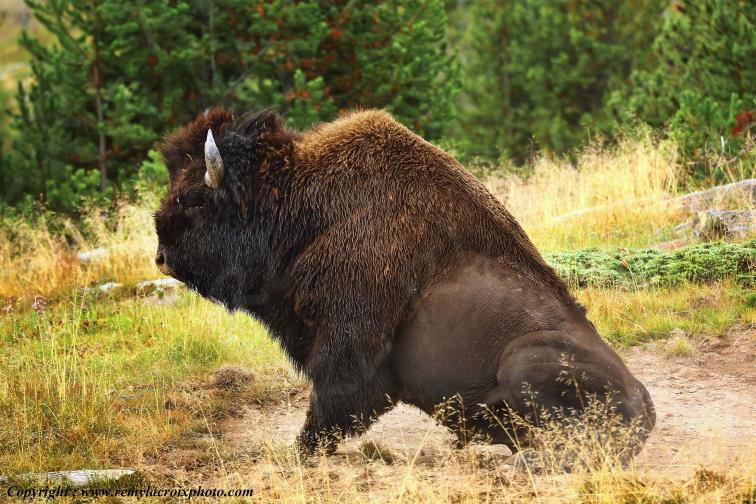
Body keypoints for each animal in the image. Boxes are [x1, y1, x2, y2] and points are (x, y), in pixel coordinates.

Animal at [154, 108, 655, 458]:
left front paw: (296, 454)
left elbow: (332, 405)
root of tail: (647, 406)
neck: (303, 203)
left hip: (522, 362)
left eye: (191, 197)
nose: (160, 256)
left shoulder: (348, 345)